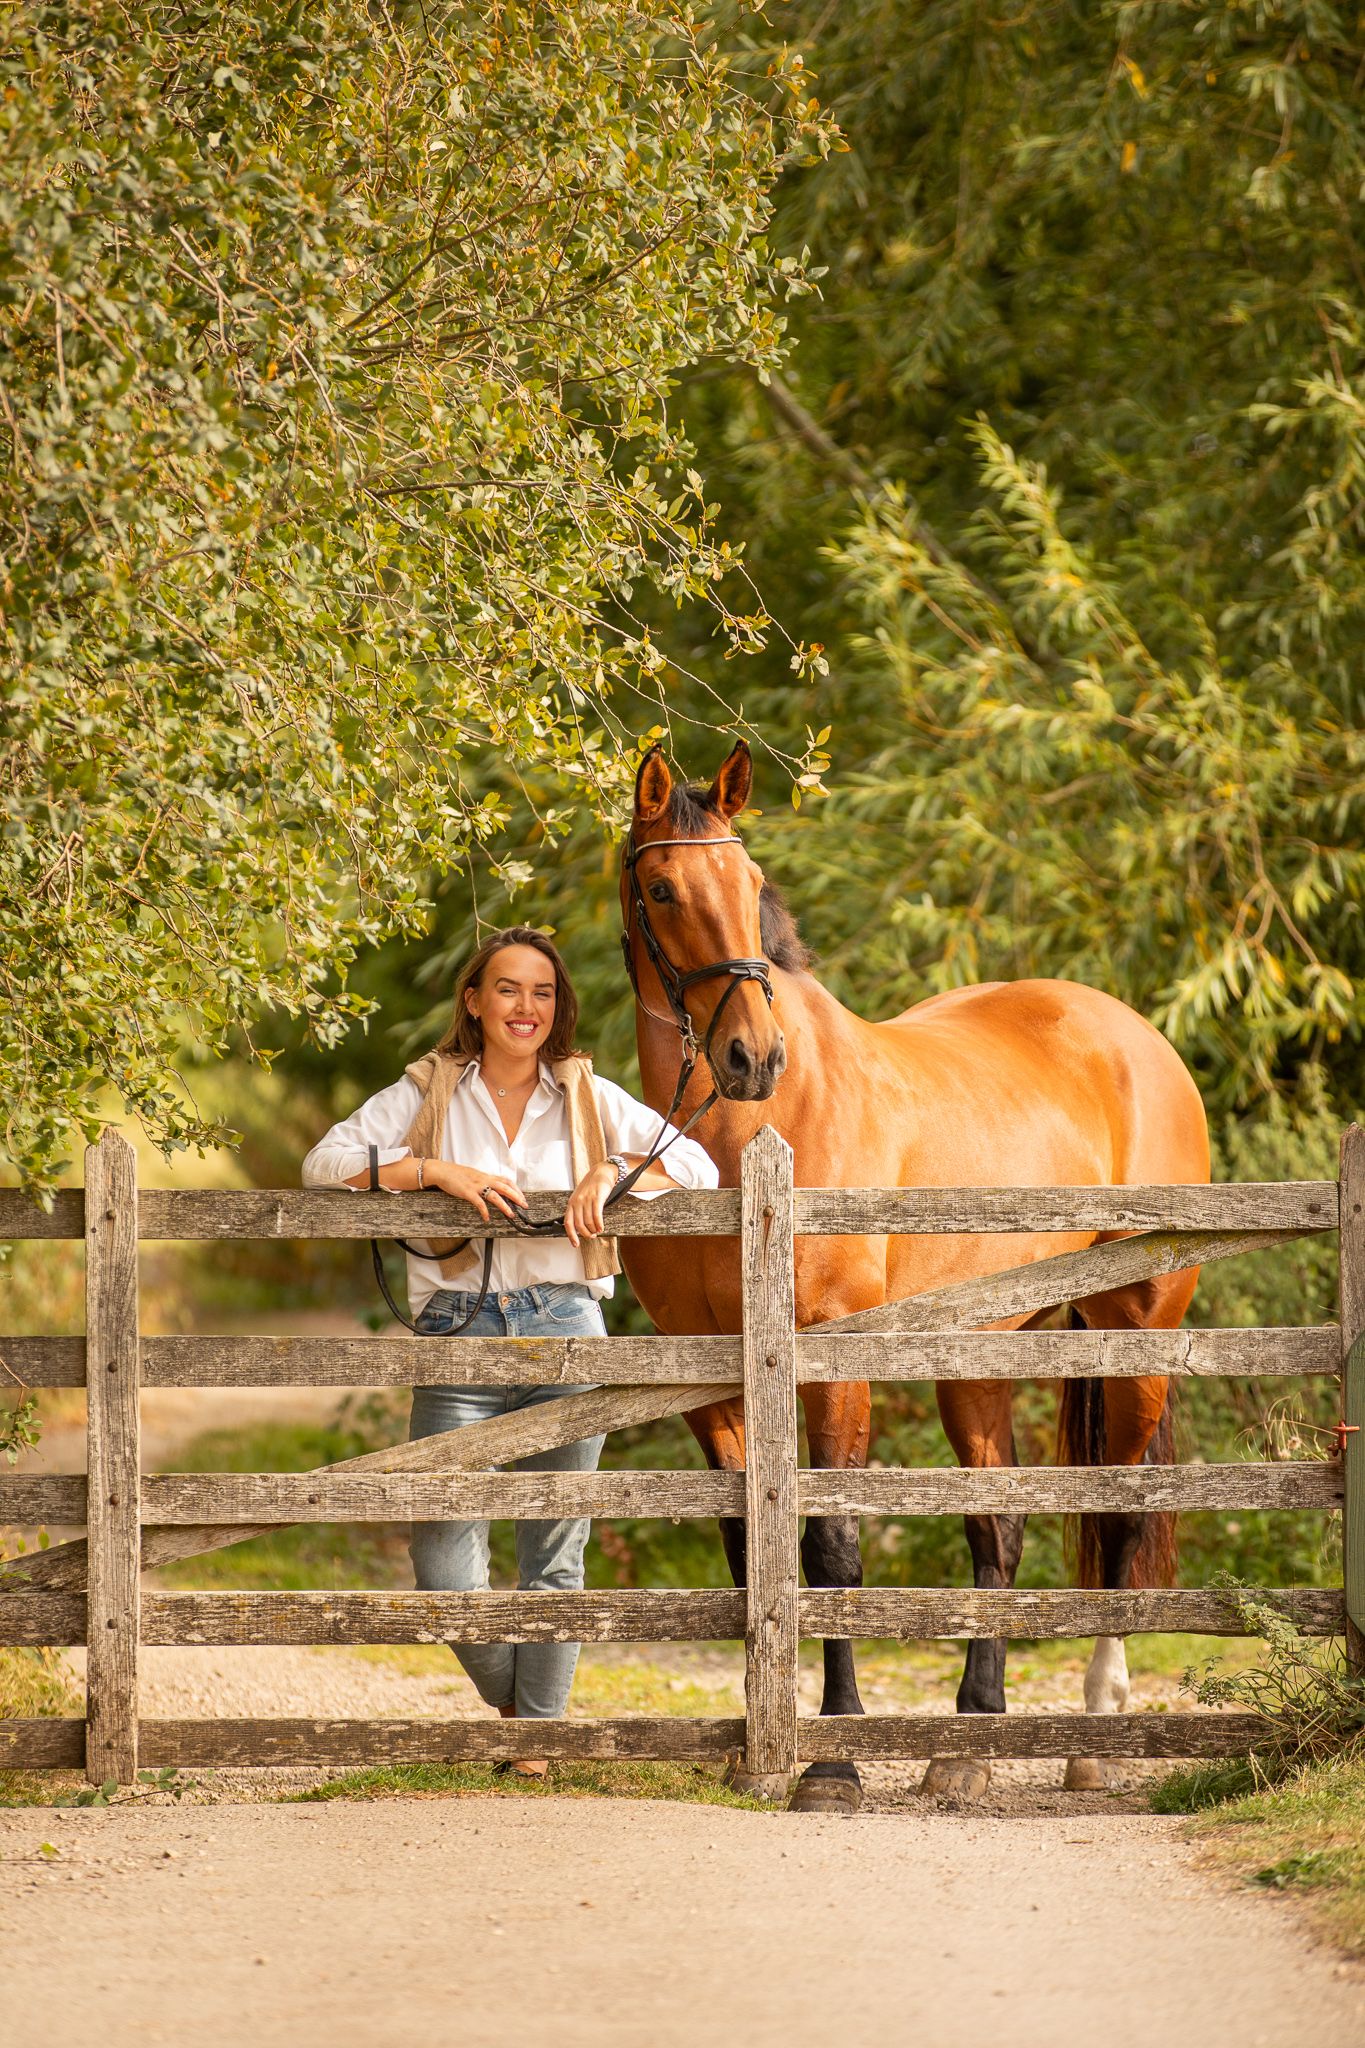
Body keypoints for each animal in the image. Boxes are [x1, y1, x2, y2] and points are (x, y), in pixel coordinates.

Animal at [619, 739, 1209, 1813]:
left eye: (752, 883)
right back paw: (965, 1744)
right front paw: (756, 1746)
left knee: (1114, 1519)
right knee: (996, 1532)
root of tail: (1130, 1035)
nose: (751, 1055)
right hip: (975, 1357)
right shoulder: (706, 1376)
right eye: (662, 887)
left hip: (1135, 1331)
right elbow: (748, 1552)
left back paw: (1093, 1739)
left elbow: (831, 1549)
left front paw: (833, 1757)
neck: (750, 1147)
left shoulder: (833, 1361)